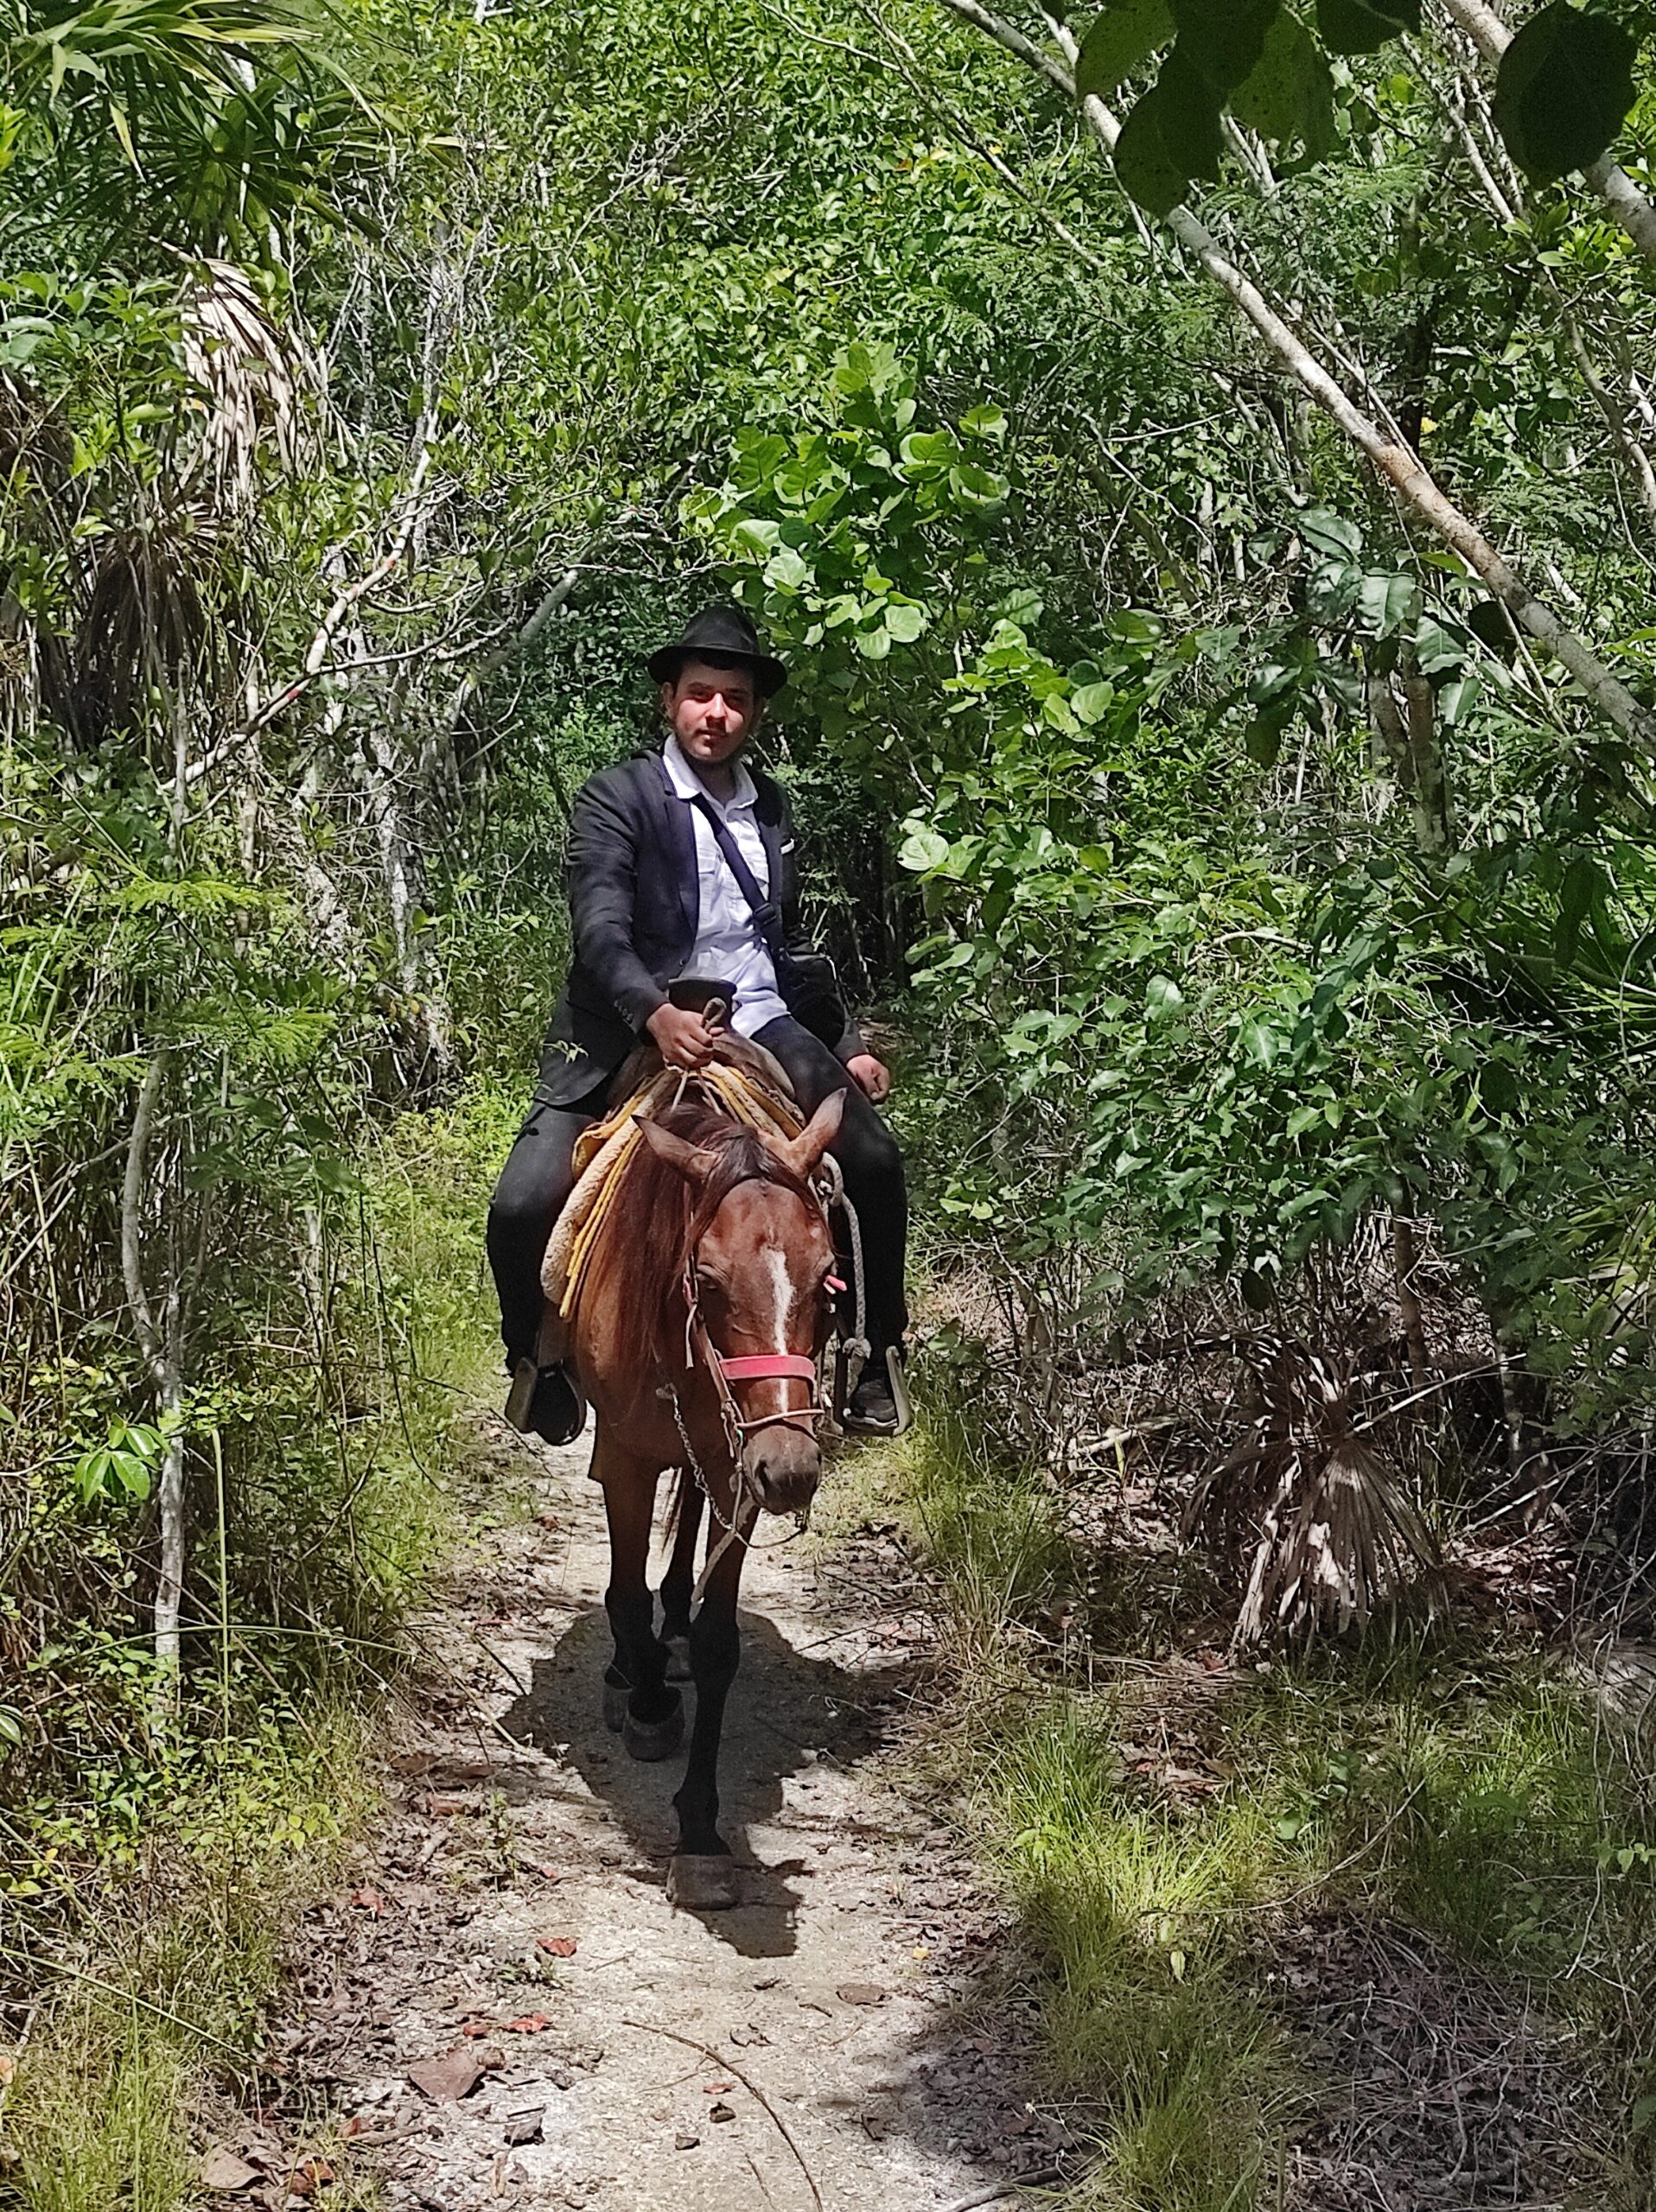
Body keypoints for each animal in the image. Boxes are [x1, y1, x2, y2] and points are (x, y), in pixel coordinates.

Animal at [570, 1071, 854, 1902]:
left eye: (829, 1282)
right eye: (707, 1279)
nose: (791, 1470)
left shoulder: (739, 1471)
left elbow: (721, 1640)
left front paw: (699, 1832)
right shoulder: (625, 1460)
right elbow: (624, 1597)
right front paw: (648, 1701)